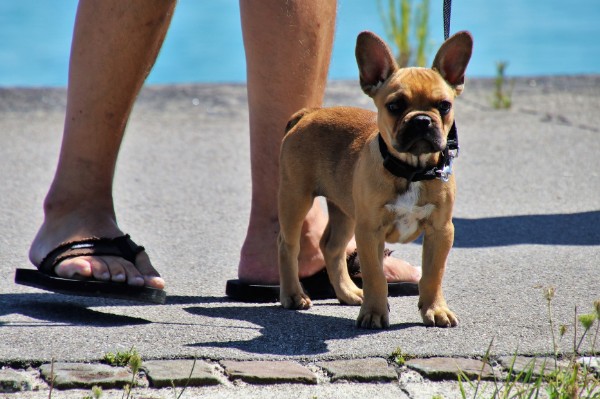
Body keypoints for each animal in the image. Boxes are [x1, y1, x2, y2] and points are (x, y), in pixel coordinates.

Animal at [278, 28, 474, 328]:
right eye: (395, 105)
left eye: (444, 106)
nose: (421, 120)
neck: (411, 169)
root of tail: (309, 113)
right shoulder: (369, 232)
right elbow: (375, 276)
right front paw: (373, 313)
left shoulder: (441, 231)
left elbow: (433, 274)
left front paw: (435, 309)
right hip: (295, 198)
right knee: (288, 245)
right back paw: (293, 295)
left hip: (346, 211)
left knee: (332, 248)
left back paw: (348, 293)